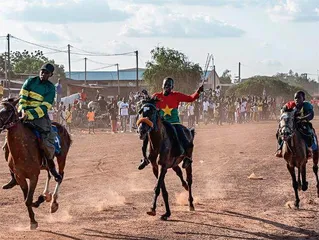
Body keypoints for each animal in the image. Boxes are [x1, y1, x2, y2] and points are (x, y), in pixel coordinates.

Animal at [0, 98, 71, 230]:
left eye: (8, 110)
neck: (23, 149)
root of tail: (61, 127)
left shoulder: (33, 176)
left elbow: (28, 200)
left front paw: (39, 202)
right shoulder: (20, 177)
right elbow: (26, 199)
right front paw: (33, 219)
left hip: (61, 157)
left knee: (59, 176)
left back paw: (53, 202)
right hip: (45, 164)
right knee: (49, 173)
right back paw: (46, 194)